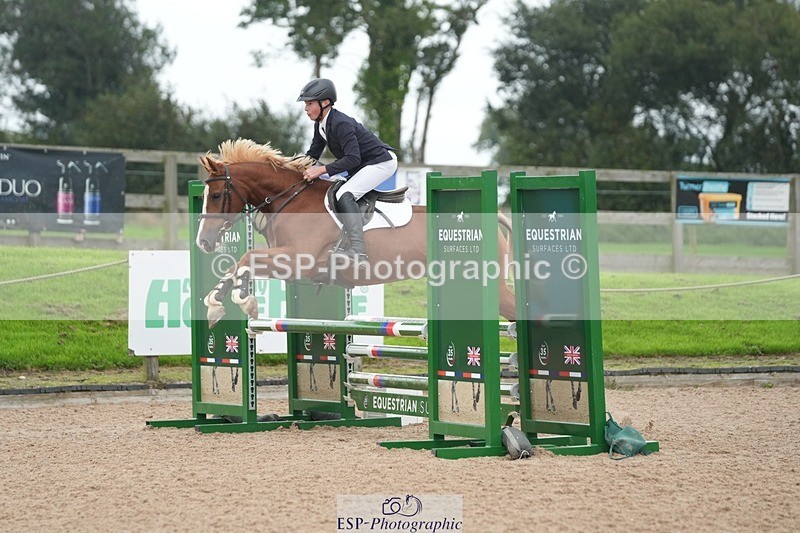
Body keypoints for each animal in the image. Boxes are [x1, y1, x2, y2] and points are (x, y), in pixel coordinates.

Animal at [195, 139, 516, 327]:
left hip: (489, 284)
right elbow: (238, 265)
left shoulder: (298, 259)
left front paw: (244, 301)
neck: (292, 199)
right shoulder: (291, 264)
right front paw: (216, 303)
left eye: (216, 195)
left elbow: (247, 257)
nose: (203, 242)